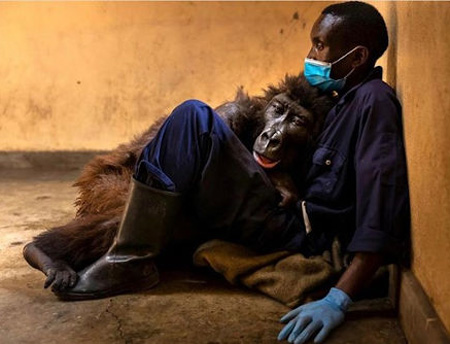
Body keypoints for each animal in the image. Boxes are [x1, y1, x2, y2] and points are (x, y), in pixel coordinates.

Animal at [22, 74, 336, 292]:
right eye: (278, 109)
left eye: (297, 121)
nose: (272, 136)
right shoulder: (230, 113)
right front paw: (281, 181)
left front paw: (284, 183)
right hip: (101, 186)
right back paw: (45, 253)